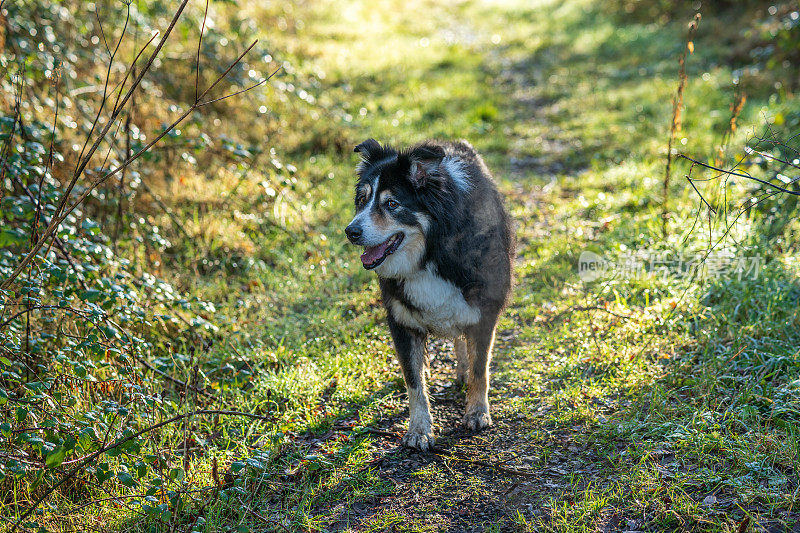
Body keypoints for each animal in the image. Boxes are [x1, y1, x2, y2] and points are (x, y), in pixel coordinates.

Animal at [344, 137, 512, 448]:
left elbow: (480, 367)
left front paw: (477, 412)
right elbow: (414, 380)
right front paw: (419, 429)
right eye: (362, 200)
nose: (351, 232)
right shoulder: (401, 320)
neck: (429, 254)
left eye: (392, 204)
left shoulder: (483, 310)